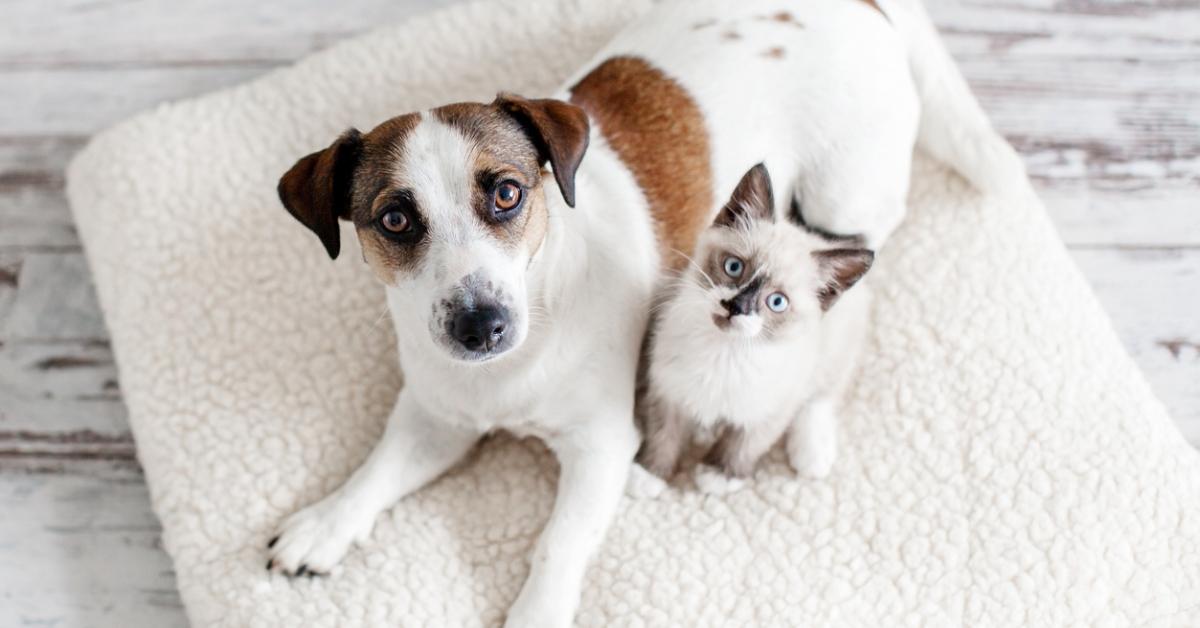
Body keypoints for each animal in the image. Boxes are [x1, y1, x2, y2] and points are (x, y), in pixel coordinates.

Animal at [638, 165, 873, 497]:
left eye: (776, 302)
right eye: (734, 267)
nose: (735, 306)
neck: (725, 351)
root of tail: (818, 237)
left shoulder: (770, 410)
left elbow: (744, 444)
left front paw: (720, 475)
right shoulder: (668, 390)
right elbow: (663, 435)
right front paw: (650, 473)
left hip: (835, 351)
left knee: (823, 397)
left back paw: (813, 454)